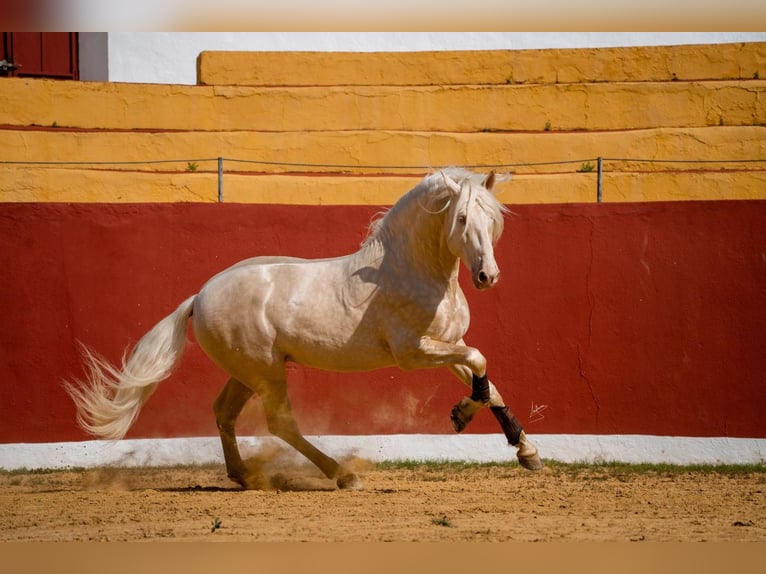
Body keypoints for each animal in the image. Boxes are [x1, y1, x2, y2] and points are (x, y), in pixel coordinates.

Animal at [66, 169, 544, 492]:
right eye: (461, 218)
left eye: (492, 219)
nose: (487, 276)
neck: (411, 270)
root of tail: (199, 296)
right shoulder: (414, 352)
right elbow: (481, 360)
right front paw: (462, 415)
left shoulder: (448, 344)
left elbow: (489, 382)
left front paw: (526, 451)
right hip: (265, 372)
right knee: (280, 423)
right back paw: (343, 475)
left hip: (248, 371)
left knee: (224, 412)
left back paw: (243, 475)